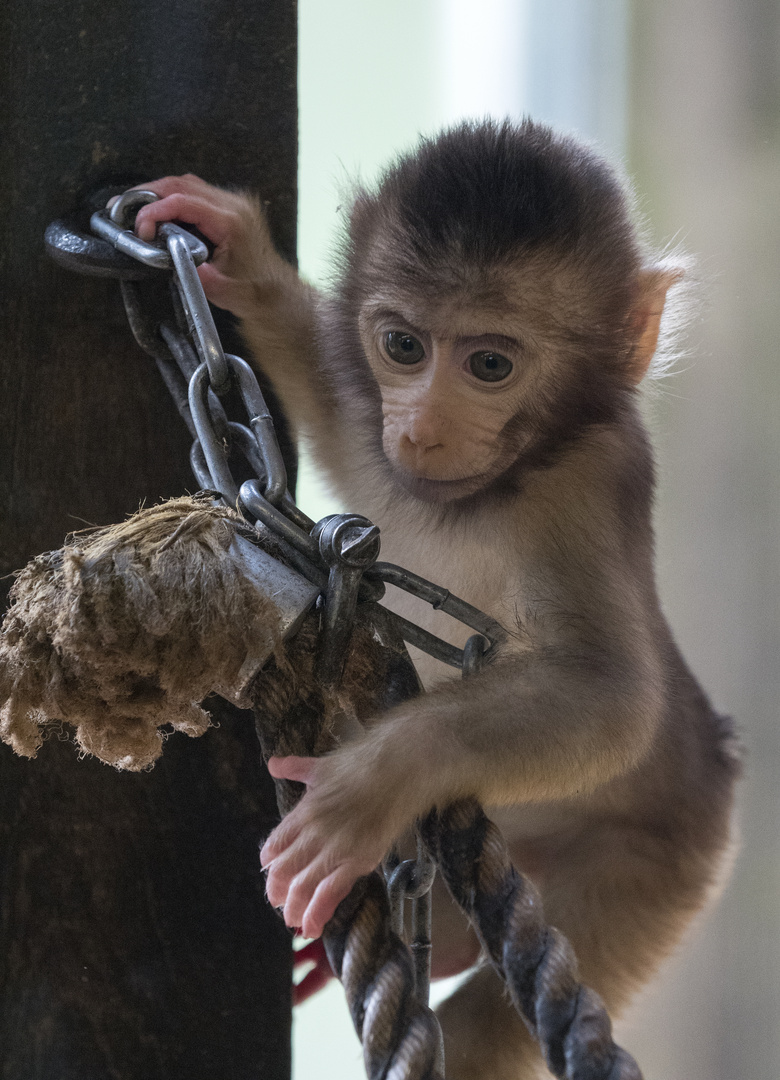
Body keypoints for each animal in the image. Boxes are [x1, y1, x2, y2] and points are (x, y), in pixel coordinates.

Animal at [136, 122, 738, 1080]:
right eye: (403, 348)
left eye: (490, 364)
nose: (421, 428)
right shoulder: (382, 452)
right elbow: (336, 418)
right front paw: (241, 259)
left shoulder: (584, 483)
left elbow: (611, 699)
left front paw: (367, 788)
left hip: (653, 873)